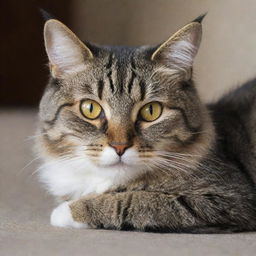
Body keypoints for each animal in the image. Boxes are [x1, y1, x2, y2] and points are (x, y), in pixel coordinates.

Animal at [35, 14, 256, 234]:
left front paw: (69, 210)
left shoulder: (227, 198)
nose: (120, 147)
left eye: (151, 111)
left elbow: (135, 201)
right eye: (90, 109)